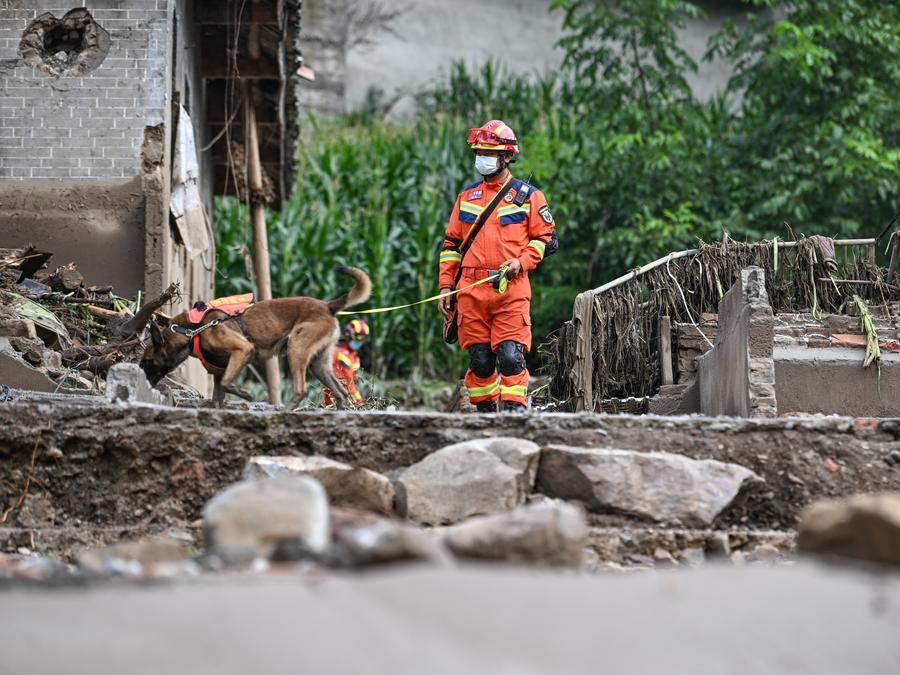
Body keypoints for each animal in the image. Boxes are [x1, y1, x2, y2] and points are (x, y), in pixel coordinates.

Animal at [139, 266, 370, 410]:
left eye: (146, 361)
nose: (145, 382)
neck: (192, 330)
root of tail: (327, 305)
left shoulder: (243, 350)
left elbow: (227, 383)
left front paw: (247, 396)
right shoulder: (220, 371)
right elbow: (218, 395)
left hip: (296, 348)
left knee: (301, 390)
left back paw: (286, 411)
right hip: (319, 365)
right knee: (341, 392)